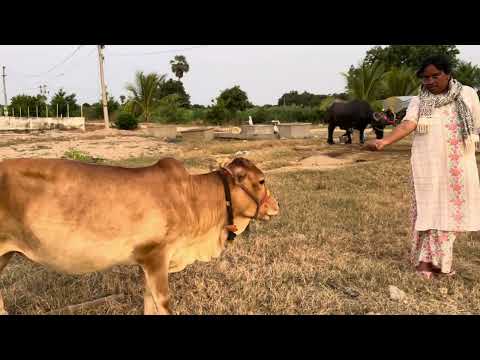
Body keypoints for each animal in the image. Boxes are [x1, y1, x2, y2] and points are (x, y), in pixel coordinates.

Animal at [0, 156, 278, 314]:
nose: (276, 206)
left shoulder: (147, 263)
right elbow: (162, 303)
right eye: (262, 181)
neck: (191, 198)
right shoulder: (156, 256)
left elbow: (148, 302)